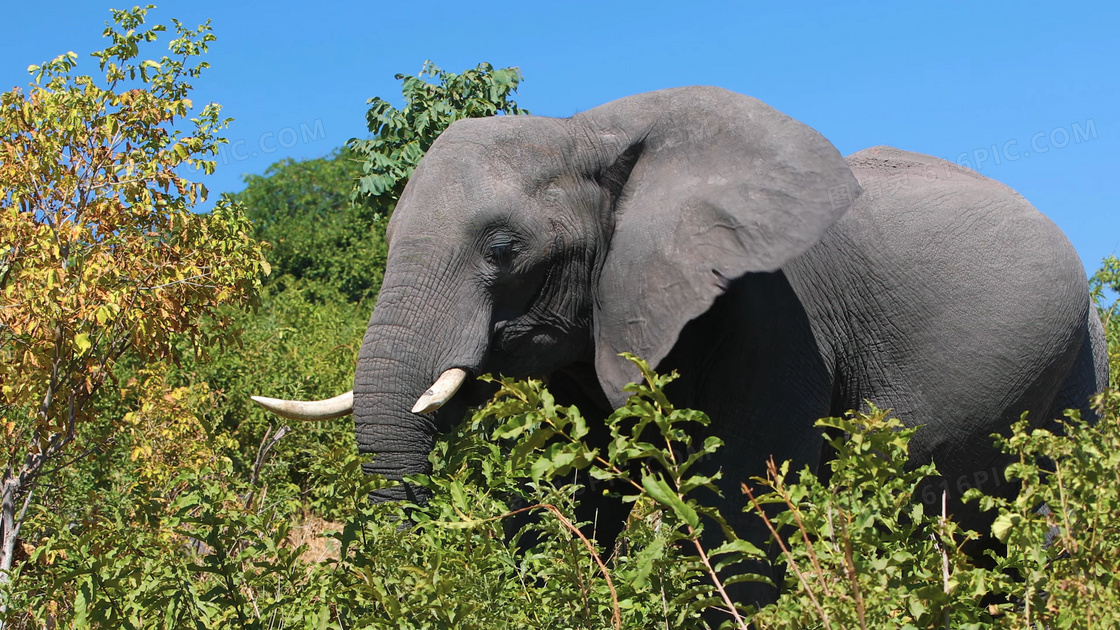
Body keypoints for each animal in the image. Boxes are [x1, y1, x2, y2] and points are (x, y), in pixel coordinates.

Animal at [249, 85, 1106, 605]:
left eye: (501, 250)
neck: (587, 133)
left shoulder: (773, 312)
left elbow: (743, 508)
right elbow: (579, 489)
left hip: (1075, 369)